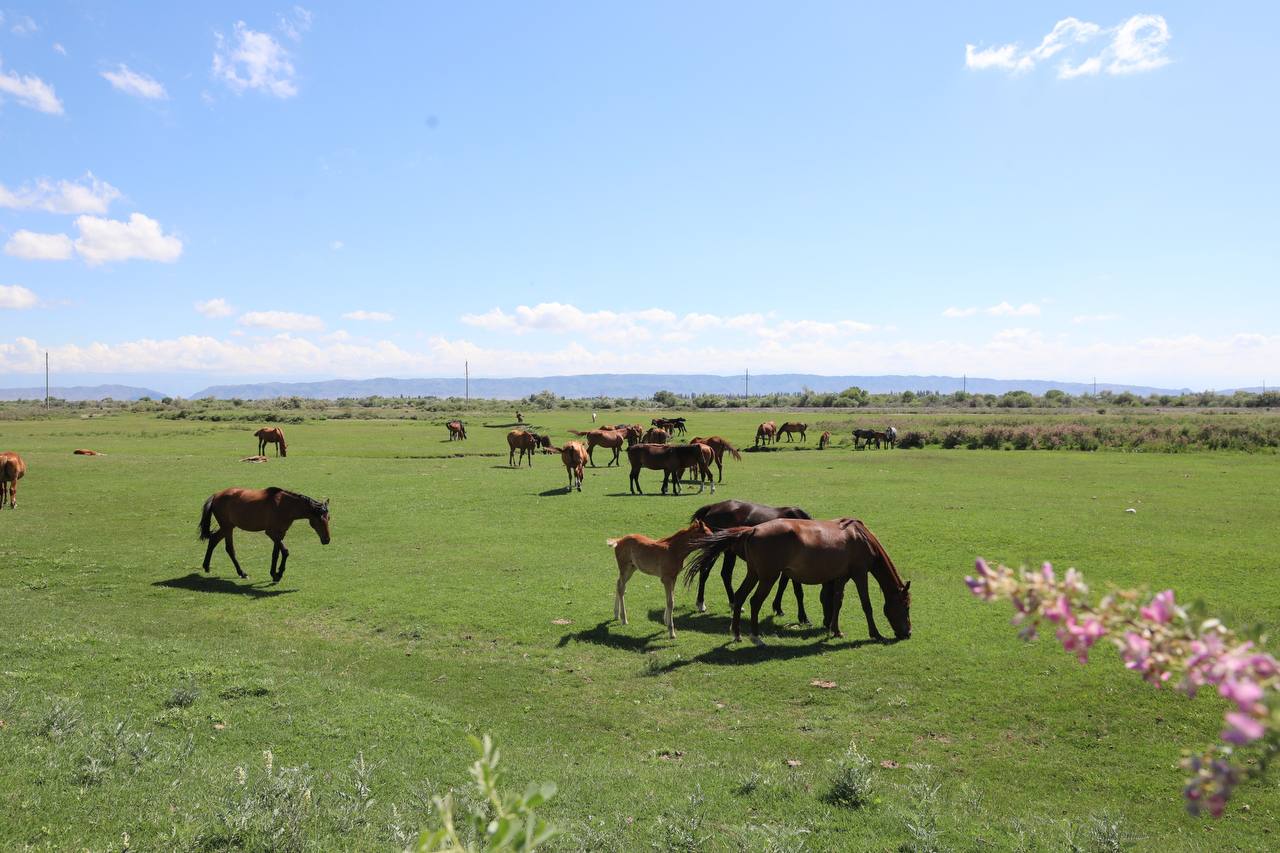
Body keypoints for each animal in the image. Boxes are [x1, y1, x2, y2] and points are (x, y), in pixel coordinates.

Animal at [197, 481, 330, 581]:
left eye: (328, 518)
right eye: (319, 520)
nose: (327, 540)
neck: (285, 505)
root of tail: (216, 495)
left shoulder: (280, 533)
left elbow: (276, 553)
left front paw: (274, 574)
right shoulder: (271, 533)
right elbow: (285, 551)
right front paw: (279, 573)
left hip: (228, 527)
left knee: (213, 539)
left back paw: (206, 566)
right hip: (227, 527)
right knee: (229, 549)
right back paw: (242, 572)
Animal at [680, 514, 911, 640]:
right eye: (906, 606)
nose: (908, 633)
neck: (860, 536)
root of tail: (752, 530)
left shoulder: (841, 577)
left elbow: (837, 602)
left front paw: (835, 630)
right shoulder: (860, 573)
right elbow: (867, 605)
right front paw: (876, 634)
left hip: (754, 574)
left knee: (739, 596)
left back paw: (737, 633)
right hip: (768, 576)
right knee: (754, 600)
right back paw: (753, 635)